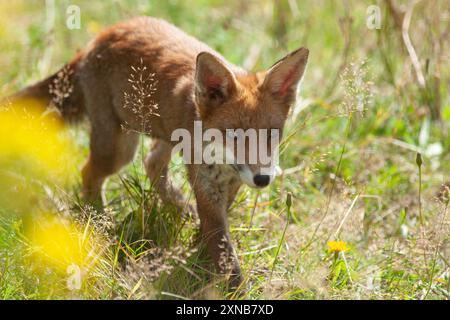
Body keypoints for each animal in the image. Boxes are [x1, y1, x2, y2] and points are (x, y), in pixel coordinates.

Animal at [9, 16, 310, 288]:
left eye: (271, 133)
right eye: (234, 135)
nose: (263, 180)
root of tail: (101, 36)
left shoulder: (231, 180)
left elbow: (217, 226)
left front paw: (199, 244)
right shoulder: (205, 181)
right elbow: (223, 248)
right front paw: (234, 288)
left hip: (163, 139)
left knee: (151, 163)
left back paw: (180, 209)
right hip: (118, 150)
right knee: (89, 173)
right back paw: (100, 220)